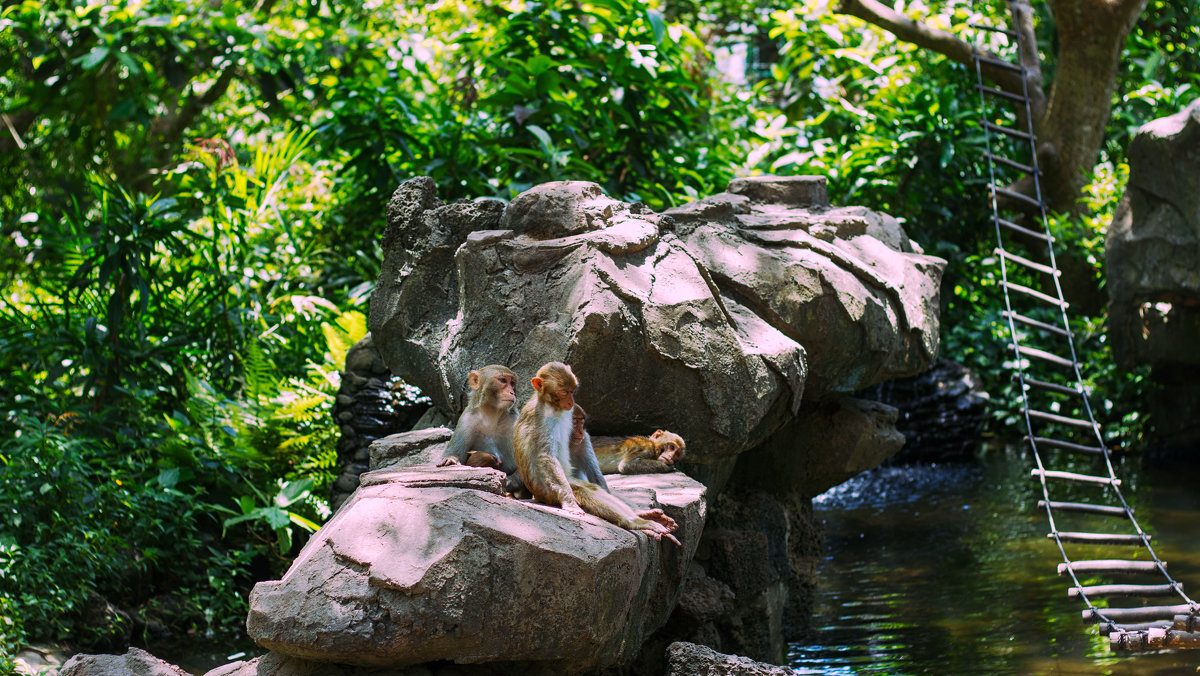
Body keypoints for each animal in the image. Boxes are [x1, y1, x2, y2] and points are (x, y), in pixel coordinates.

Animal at [434, 362, 523, 494]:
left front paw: (507, 483)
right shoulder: (466, 420)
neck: (492, 415)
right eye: (503, 380)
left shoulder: (515, 421)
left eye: (512, 383)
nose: (512, 392)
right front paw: (450, 459)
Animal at [513, 362, 681, 547]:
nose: (571, 401)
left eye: (573, 391)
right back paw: (635, 522)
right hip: (548, 493)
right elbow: (545, 456)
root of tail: (537, 497)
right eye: (564, 392)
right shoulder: (540, 418)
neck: (550, 405)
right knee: (585, 489)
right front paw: (569, 502)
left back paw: (642, 514)